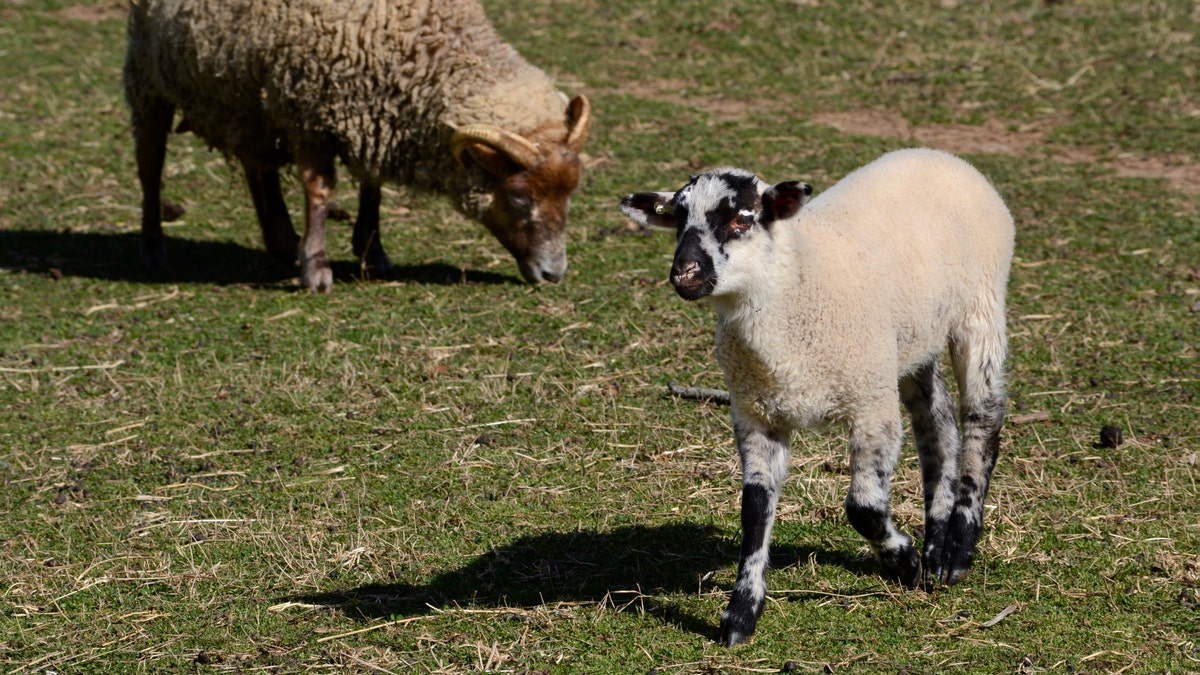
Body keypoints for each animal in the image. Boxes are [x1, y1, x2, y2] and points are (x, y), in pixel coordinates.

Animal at [121, 0, 590, 289]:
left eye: (571, 194)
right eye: (518, 196)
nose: (554, 274)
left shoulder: (371, 114)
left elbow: (372, 185)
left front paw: (370, 251)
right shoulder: (306, 110)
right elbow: (319, 189)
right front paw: (316, 267)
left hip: (247, 93)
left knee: (258, 164)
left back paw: (281, 240)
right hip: (149, 75)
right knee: (150, 160)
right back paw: (153, 245)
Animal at [619, 148, 1012, 648]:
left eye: (743, 218)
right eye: (677, 218)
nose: (684, 273)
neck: (794, 282)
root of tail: (936, 154)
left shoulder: (870, 404)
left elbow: (863, 509)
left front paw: (902, 561)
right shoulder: (755, 412)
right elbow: (755, 509)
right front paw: (741, 614)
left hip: (980, 307)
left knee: (983, 418)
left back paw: (957, 552)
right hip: (907, 341)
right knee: (938, 424)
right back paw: (936, 547)